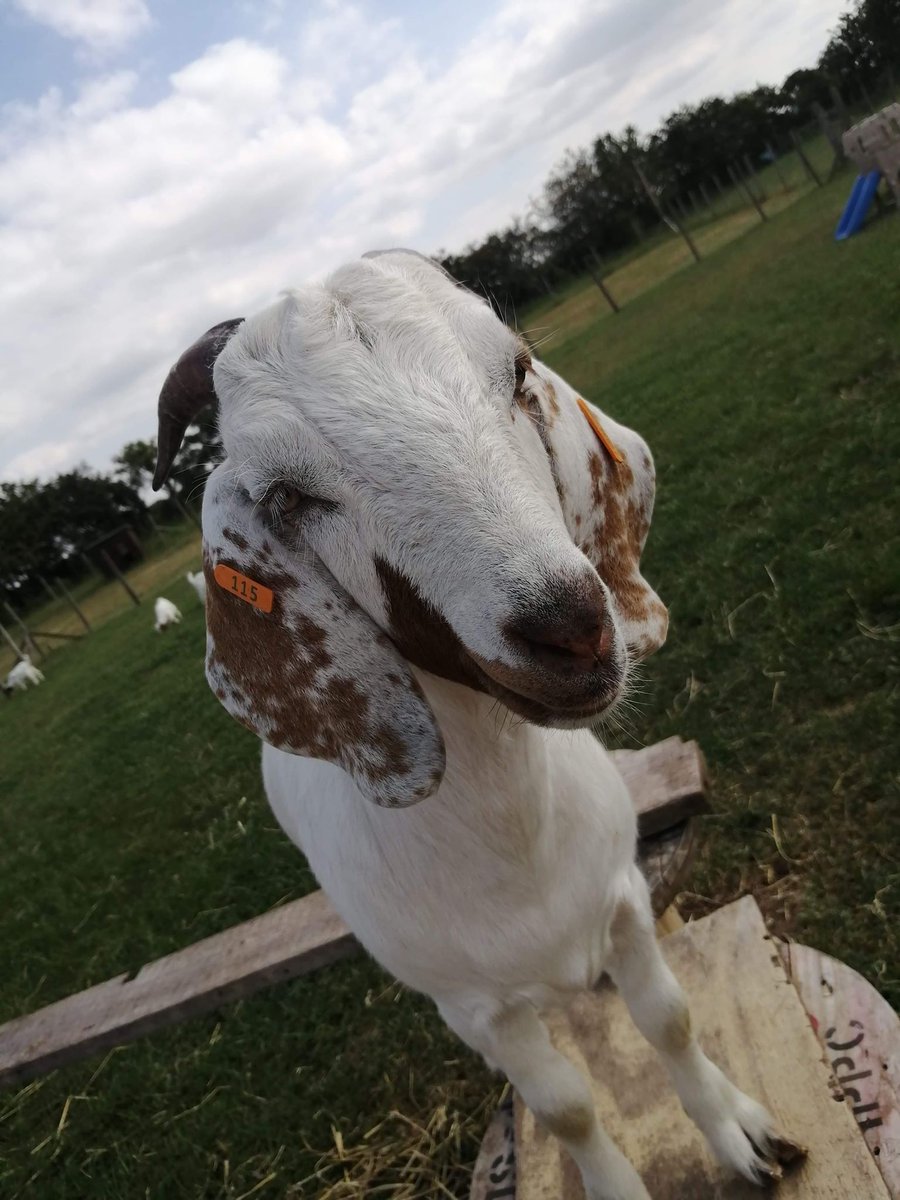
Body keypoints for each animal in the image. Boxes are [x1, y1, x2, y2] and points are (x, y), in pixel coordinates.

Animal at [153, 248, 796, 1195]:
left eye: (519, 373)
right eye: (287, 495)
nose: (569, 628)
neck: (518, 844)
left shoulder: (623, 899)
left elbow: (670, 1017)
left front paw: (742, 1132)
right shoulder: (474, 1011)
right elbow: (566, 1107)